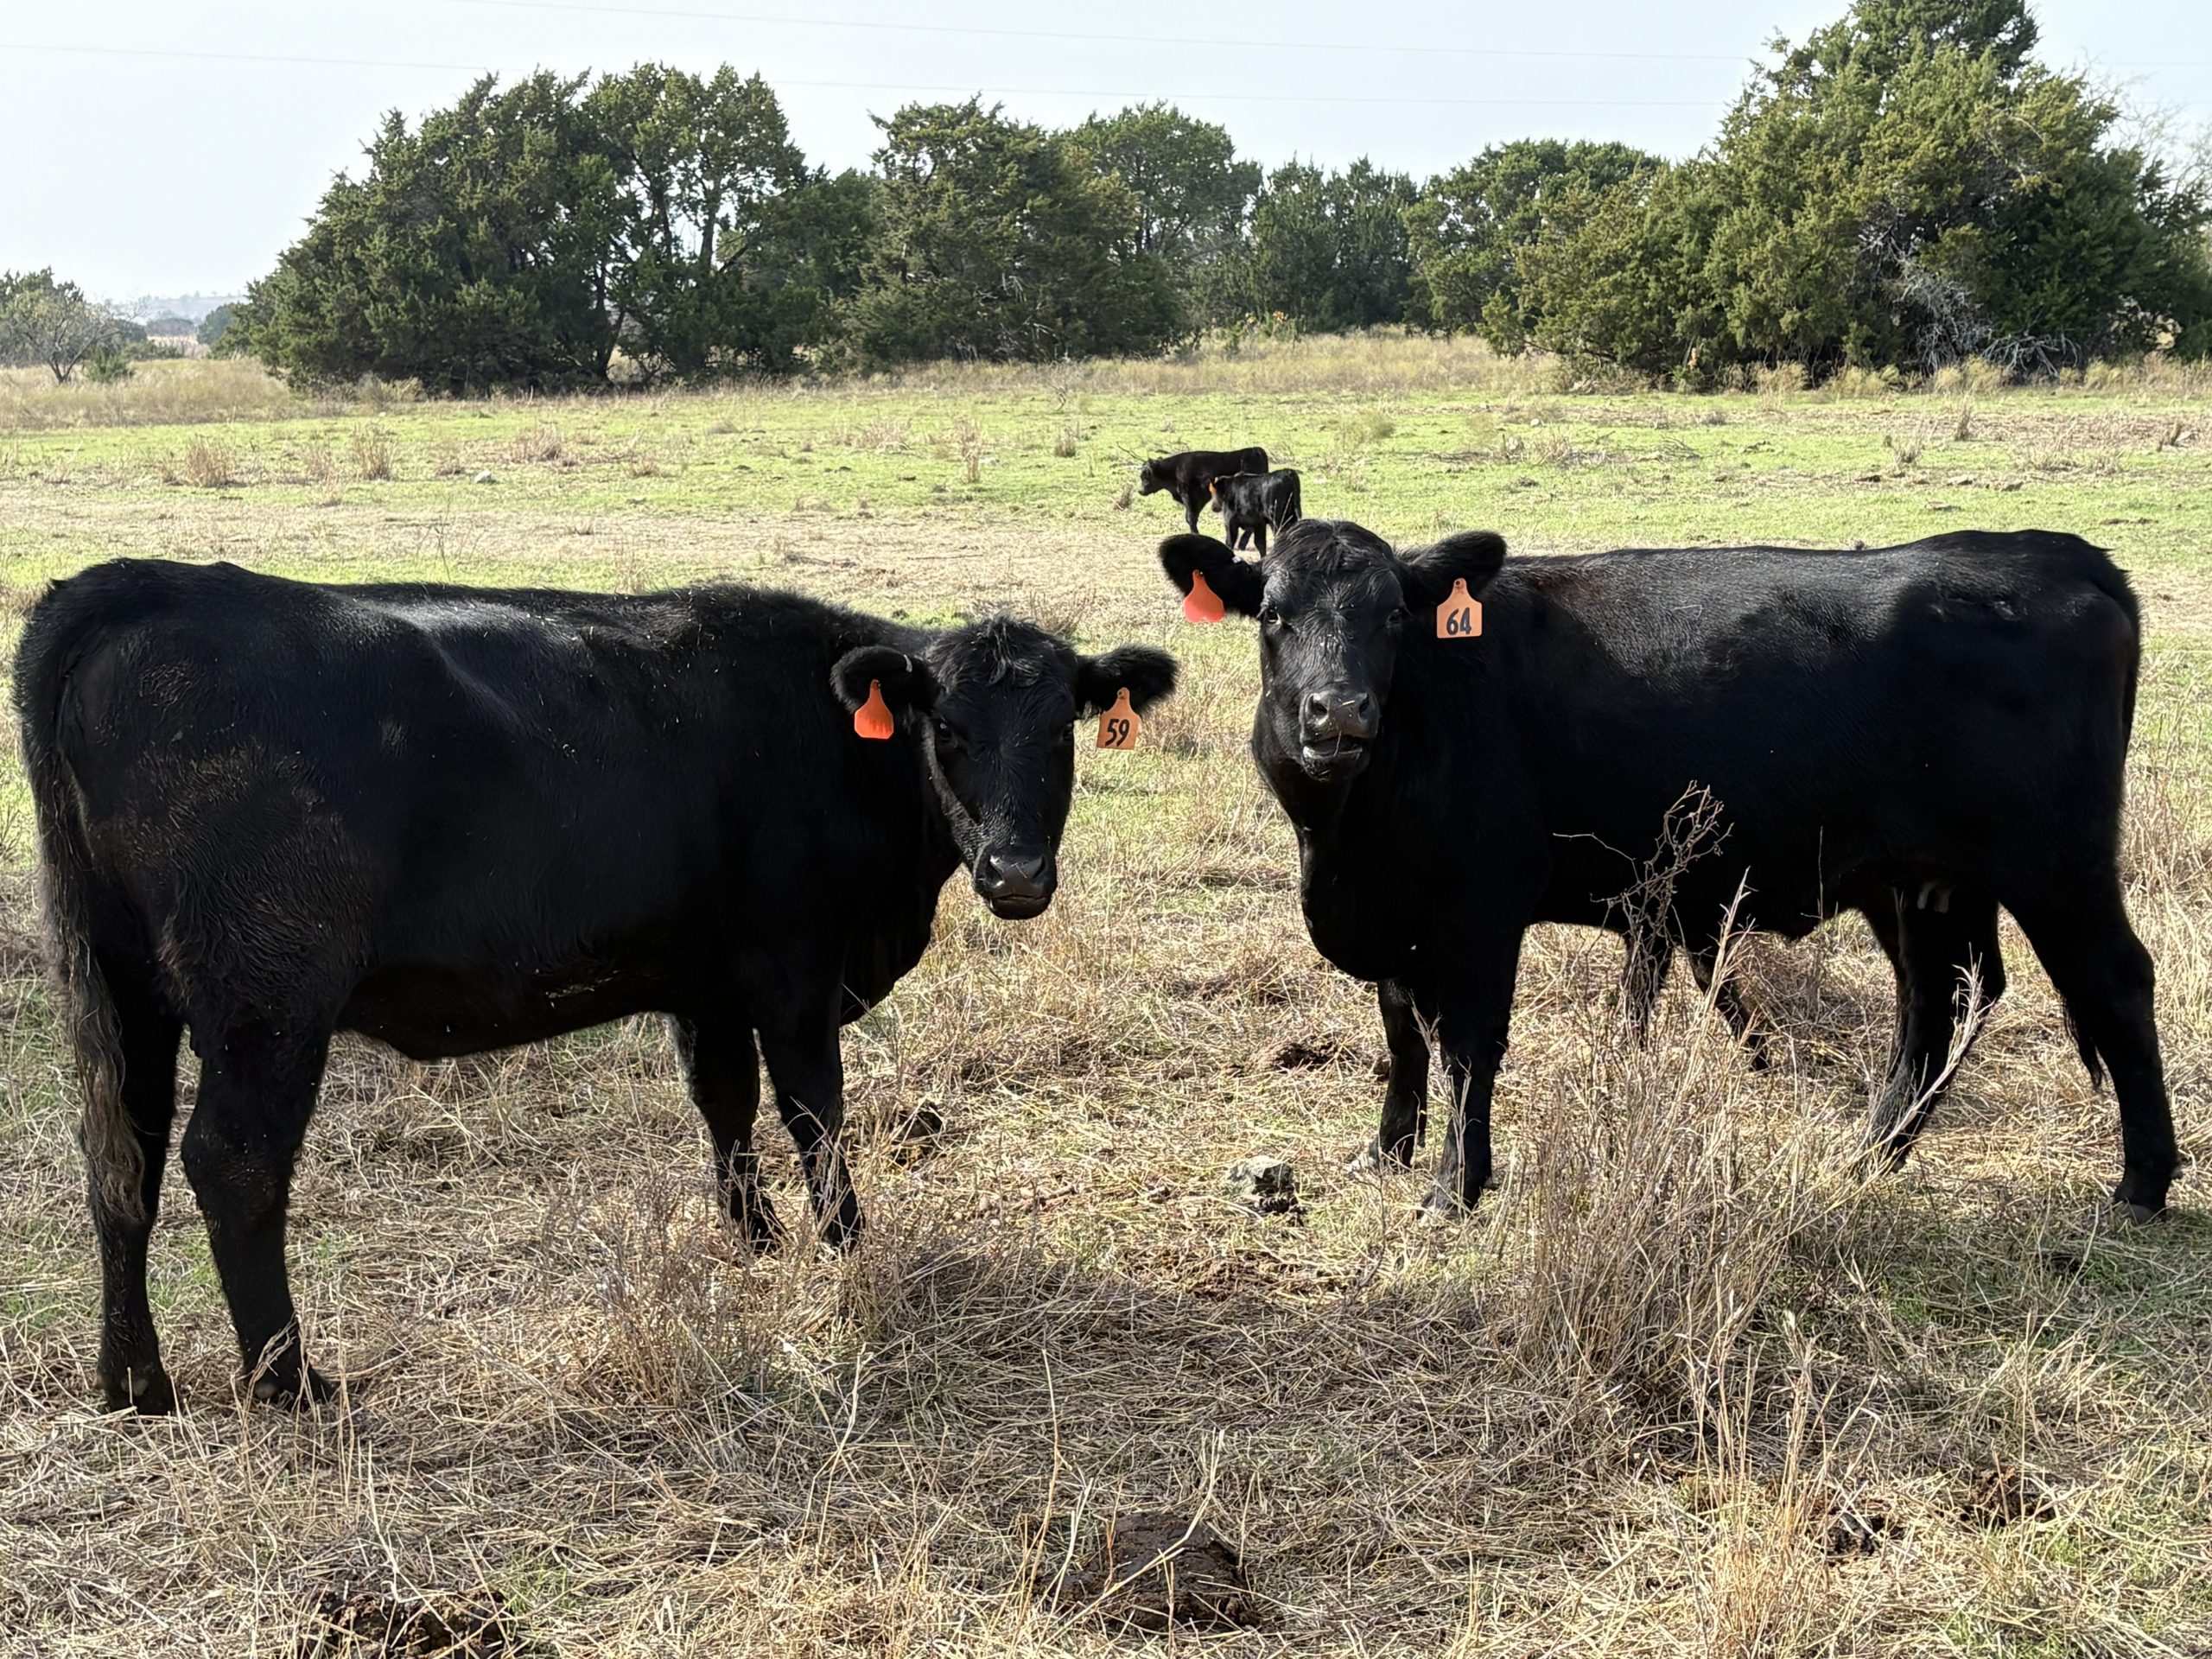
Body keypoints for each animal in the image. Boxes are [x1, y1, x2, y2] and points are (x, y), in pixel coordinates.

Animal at [14, 559, 1177, 1414]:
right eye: (950, 732)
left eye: (1063, 731)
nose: (1015, 873)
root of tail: (145, 585)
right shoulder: (793, 973)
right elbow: (816, 1115)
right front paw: (849, 1255)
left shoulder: (706, 985)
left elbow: (724, 1106)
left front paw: (754, 1245)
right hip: (267, 1003)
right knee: (232, 1164)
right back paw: (291, 1382)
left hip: (125, 990)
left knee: (122, 1157)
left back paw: (136, 1382)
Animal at [1138, 447, 1268, 533]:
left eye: (1145, 475)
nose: (1140, 491)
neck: (1175, 470)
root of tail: (1256, 450)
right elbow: (1192, 516)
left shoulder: (1189, 495)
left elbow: (1190, 516)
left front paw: (1195, 533)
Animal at [1159, 521, 2178, 1224]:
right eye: (1275, 617)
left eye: (1394, 617)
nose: (1338, 714)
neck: (1346, 835)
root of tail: (2054, 554)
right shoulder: (1398, 915)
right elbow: (1402, 1033)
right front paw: (1386, 1151)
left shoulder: (1481, 908)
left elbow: (1467, 1048)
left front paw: (1455, 1185)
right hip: (1921, 882)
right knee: (1942, 999)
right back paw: (1870, 1154)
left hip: (2058, 865)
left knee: (2115, 984)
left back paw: (2143, 1181)